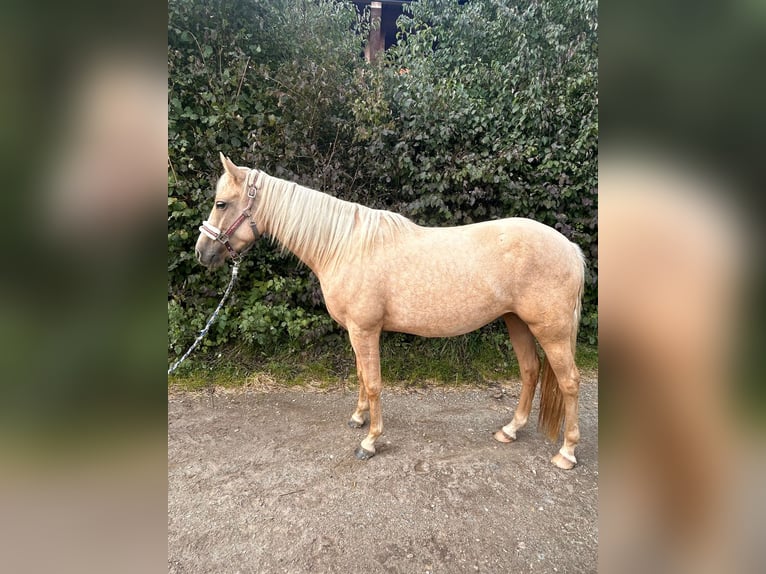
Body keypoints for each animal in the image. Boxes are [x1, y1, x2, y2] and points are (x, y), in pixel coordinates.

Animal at [196, 152, 588, 468]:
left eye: (221, 204)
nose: (202, 252)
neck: (344, 246)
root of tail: (570, 248)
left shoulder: (365, 330)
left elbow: (372, 382)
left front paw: (370, 441)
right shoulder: (356, 332)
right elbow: (359, 375)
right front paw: (358, 418)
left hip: (550, 330)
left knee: (569, 381)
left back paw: (567, 452)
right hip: (516, 322)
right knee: (530, 371)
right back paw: (510, 429)